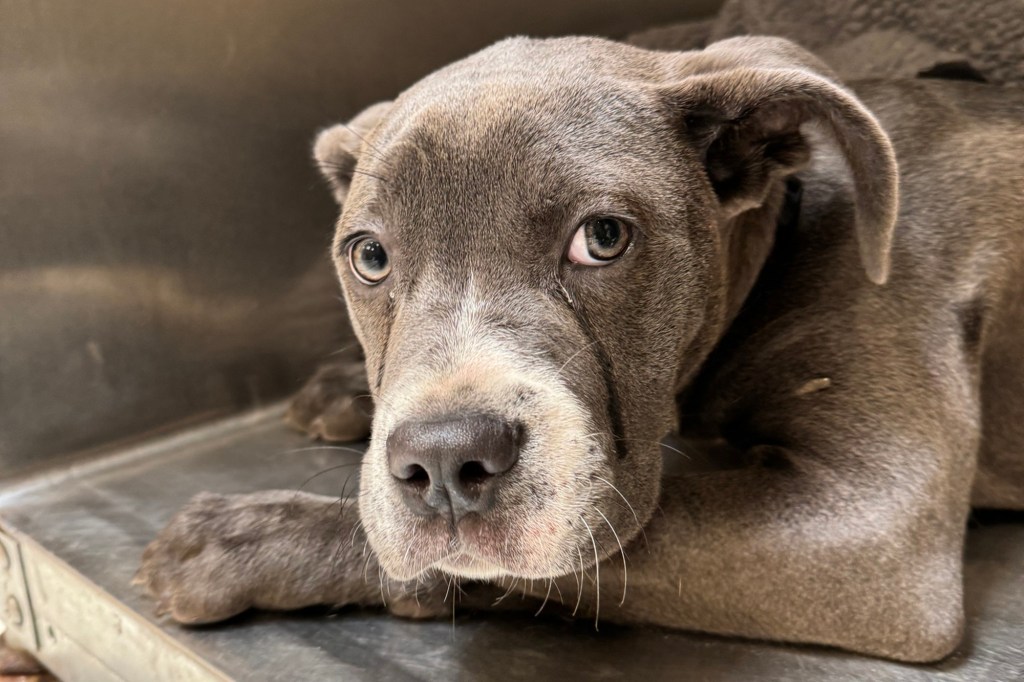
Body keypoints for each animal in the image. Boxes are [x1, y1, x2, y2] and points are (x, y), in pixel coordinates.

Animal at [138, 35, 1024, 659]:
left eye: (603, 238)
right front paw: (342, 385)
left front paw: (242, 540)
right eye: (370, 256)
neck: (789, 228)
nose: (446, 461)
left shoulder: (867, 527)